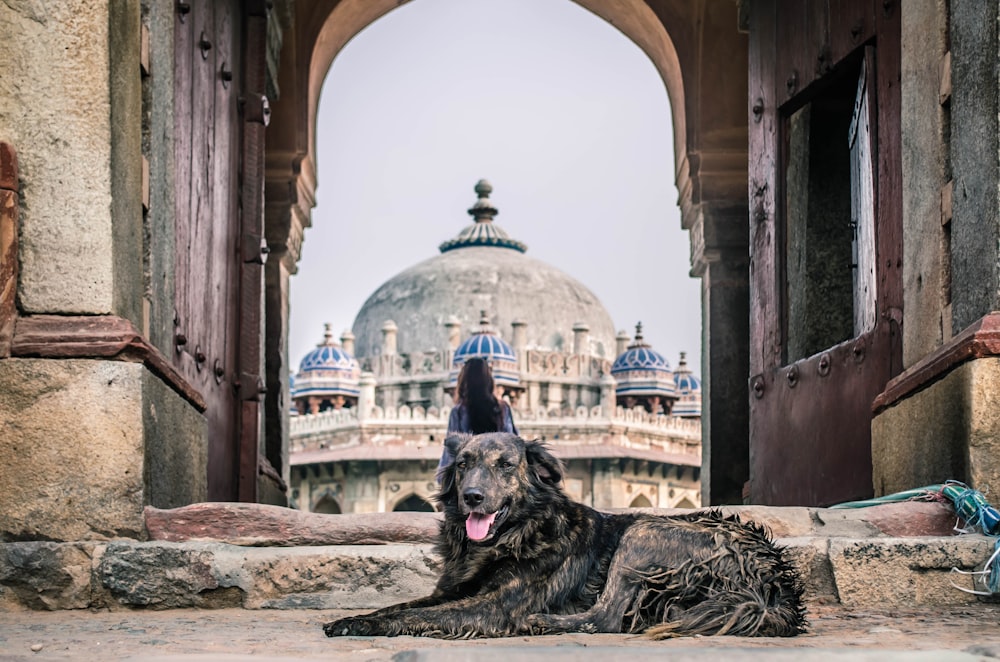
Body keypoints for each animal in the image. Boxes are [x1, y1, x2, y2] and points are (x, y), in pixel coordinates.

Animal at [324, 434, 808, 640]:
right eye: (463, 464)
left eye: (506, 465)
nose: (471, 497)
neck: (513, 536)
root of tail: (773, 580)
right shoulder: (453, 591)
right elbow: (400, 606)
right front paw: (353, 617)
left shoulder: (493, 607)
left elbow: (412, 615)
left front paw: (358, 624)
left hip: (643, 531)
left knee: (606, 617)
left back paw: (542, 622)